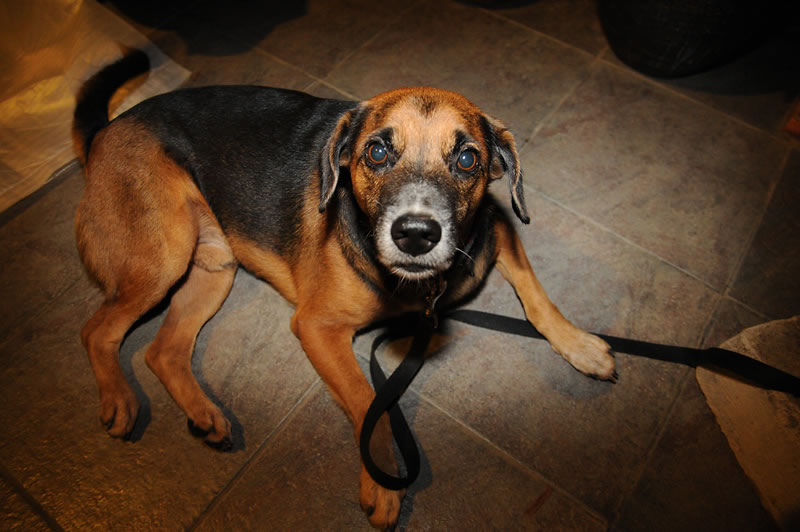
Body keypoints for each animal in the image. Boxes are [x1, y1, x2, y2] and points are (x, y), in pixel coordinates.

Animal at [73, 51, 615, 528]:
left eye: (467, 158)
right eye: (376, 151)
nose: (415, 234)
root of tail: (108, 129)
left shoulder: (498, 227)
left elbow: (537, 296)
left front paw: (580, 345)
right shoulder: (316, 327)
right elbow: (368, 399)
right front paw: (383, 480)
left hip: (213, 268)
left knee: (162, 351)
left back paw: (204, 415)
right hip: (163, 255)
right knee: (97, 330)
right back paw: (119, 399)